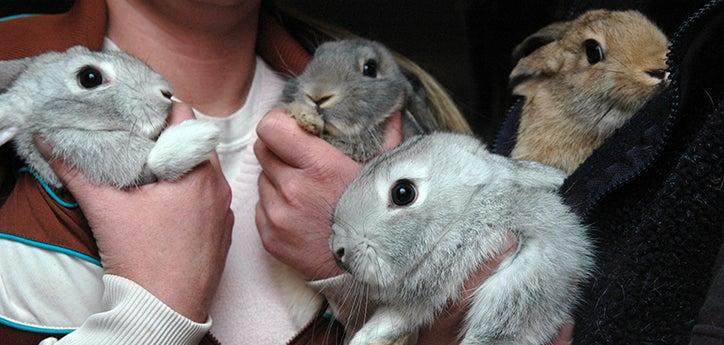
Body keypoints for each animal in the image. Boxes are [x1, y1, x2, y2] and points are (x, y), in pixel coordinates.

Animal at [308, 132, 592, 344]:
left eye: (403, 193)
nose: (338, 250)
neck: (457, 222)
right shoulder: (416, 304)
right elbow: (389, 321)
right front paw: (360, 340)